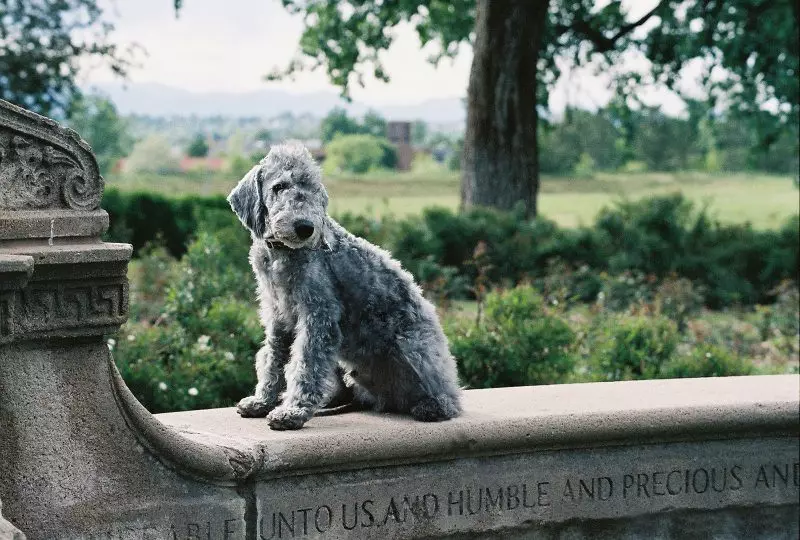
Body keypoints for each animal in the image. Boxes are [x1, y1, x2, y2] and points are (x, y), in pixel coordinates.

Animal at [227, 140, 462, 430]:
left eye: (313, 189)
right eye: (279, 186)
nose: (305, 227)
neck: (282, 253)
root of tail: (384, 397)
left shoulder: (319, 315)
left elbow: (306, 364)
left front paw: (292, 412)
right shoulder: (277, 316)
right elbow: (273, 359)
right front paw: (262, 401)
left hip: (414, 347)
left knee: (446, 393)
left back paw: (432, 406)